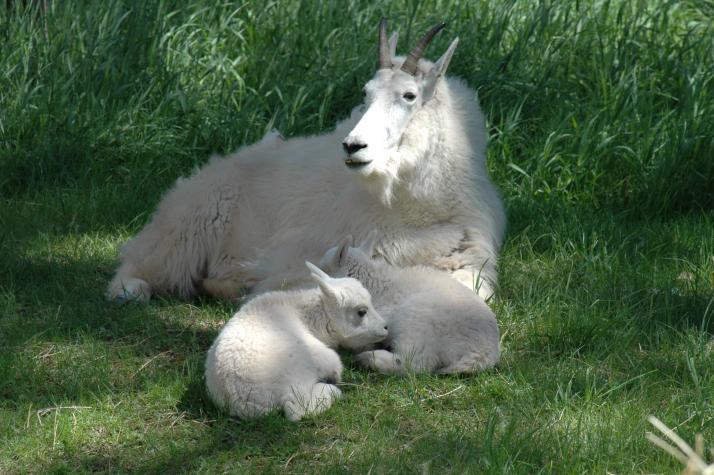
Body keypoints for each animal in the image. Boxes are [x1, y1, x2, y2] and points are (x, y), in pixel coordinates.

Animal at [107, 19, 506, 302]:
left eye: (409, 95)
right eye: (365, 93)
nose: (353, 147)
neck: (416, 204)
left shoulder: (473, 256)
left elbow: (471, 290)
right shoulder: (313, 250)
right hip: (191, 223)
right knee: (141, 262)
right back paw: (132, 290)